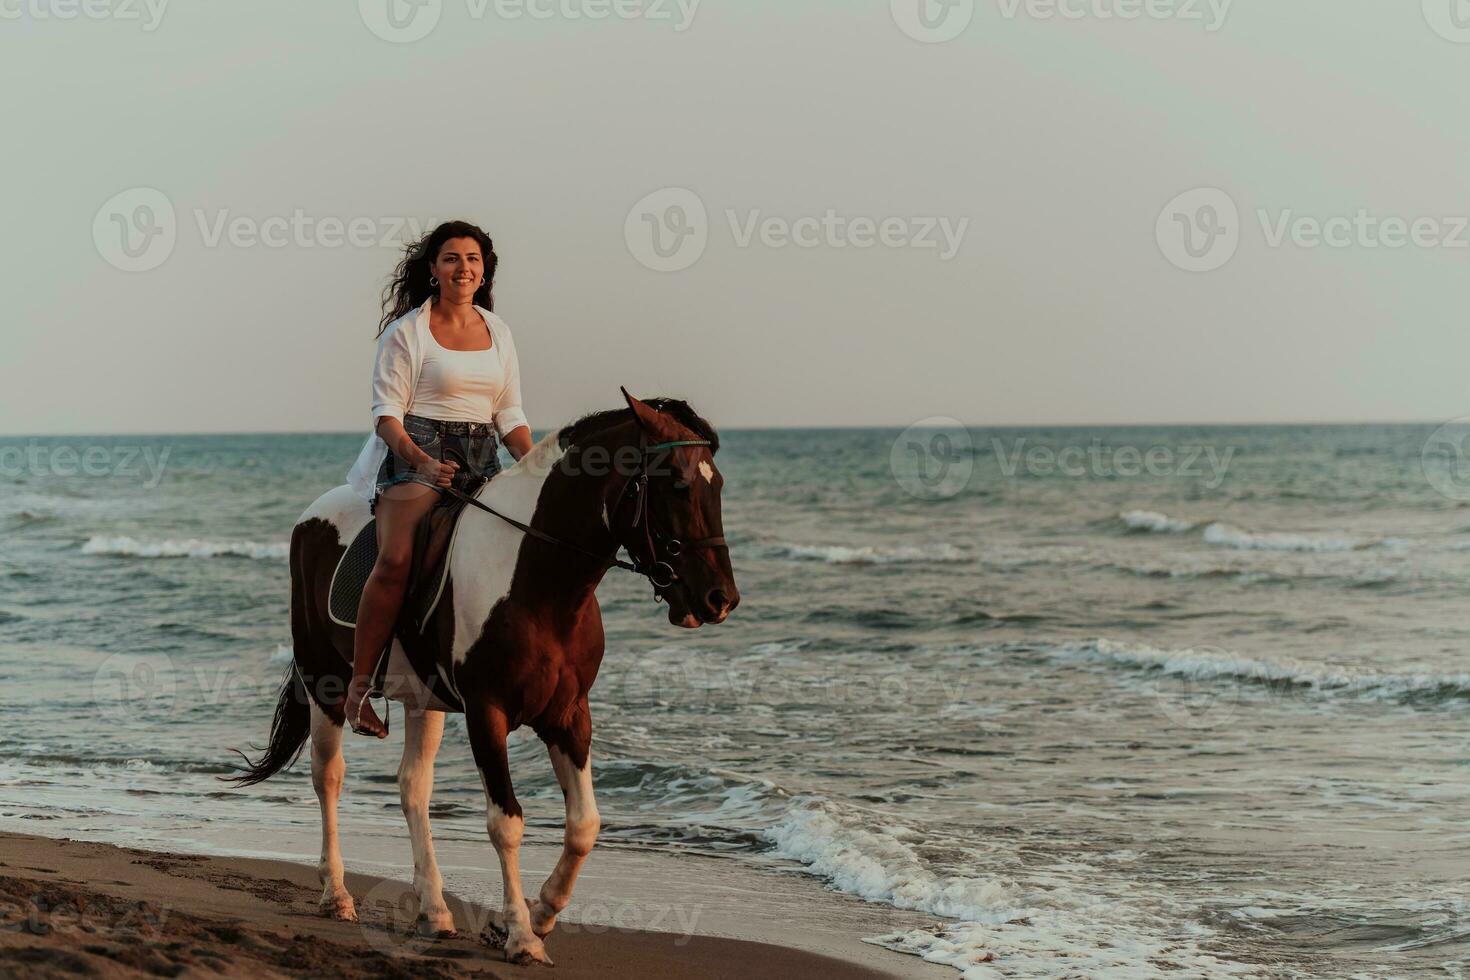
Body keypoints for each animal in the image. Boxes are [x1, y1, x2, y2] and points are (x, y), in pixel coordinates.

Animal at [236, 390, 740, 963]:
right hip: (325, 682)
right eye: (676, 483)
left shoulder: (569, 715)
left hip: (423, 700)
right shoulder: (487, 711)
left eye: (717, 484)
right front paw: (520, 935)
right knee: (329, 777)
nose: (720, 599)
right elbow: (507, 823)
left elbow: (584, 826)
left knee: (413, 788)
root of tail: (311, 516)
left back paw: (435, 911)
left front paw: (540, 916)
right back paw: (337, 894)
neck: (539, 583)